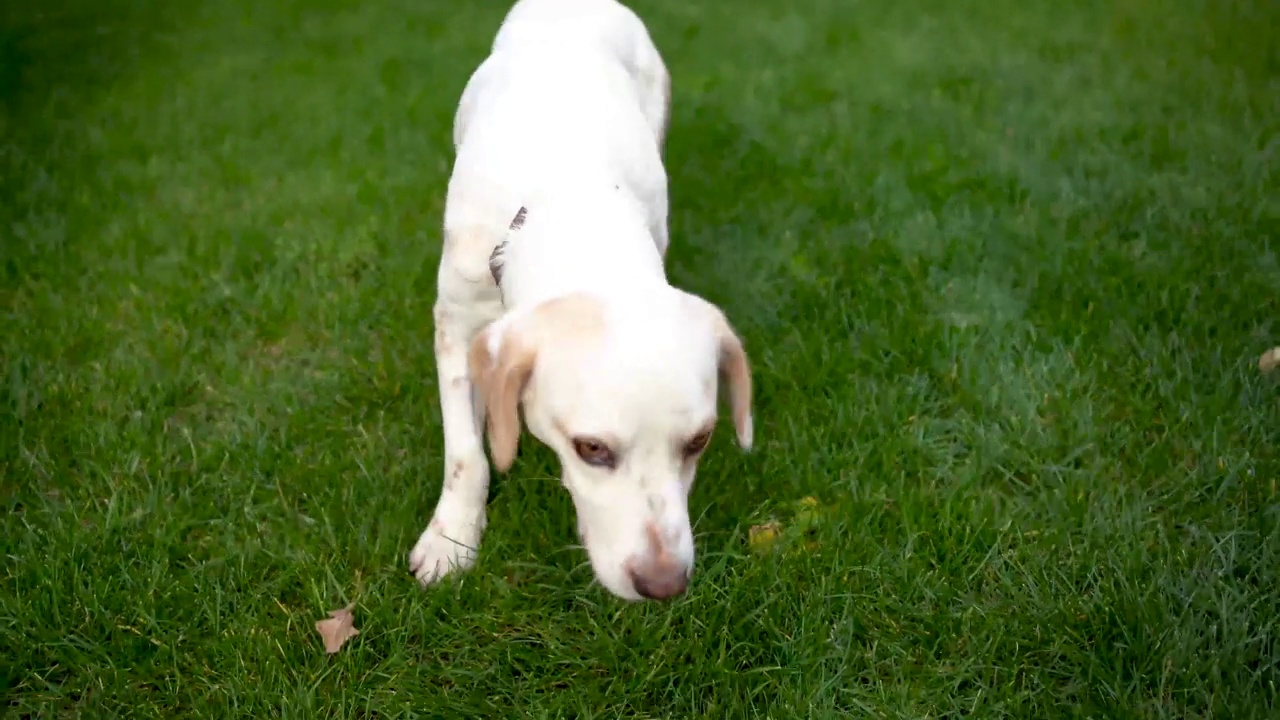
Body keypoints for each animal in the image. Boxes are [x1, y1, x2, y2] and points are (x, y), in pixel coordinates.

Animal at [407, 0, 747, 599]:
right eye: (592, 448)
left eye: (700, 440)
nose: (665, 585)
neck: (571, 196)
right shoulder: (454, 319)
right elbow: (465, 453)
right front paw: (451, 540)